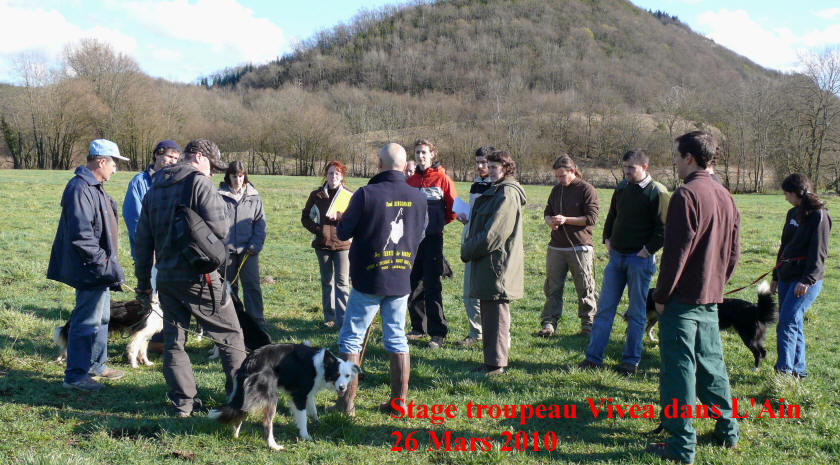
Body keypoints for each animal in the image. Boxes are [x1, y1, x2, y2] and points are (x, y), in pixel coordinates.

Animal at [208, 344, 360, 450]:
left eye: (347, 376)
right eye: (336, 375)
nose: (342, 388)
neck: (323, 365)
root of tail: (249, 363)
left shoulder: (308, 393)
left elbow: (313, 410)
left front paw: (318, 423)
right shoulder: (299, 395)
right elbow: (303, 418)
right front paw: (306, 436)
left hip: (245, 395)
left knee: (240, 412)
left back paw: (235, 436)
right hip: (271, 397)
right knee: (266, 423)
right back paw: (273, 446)